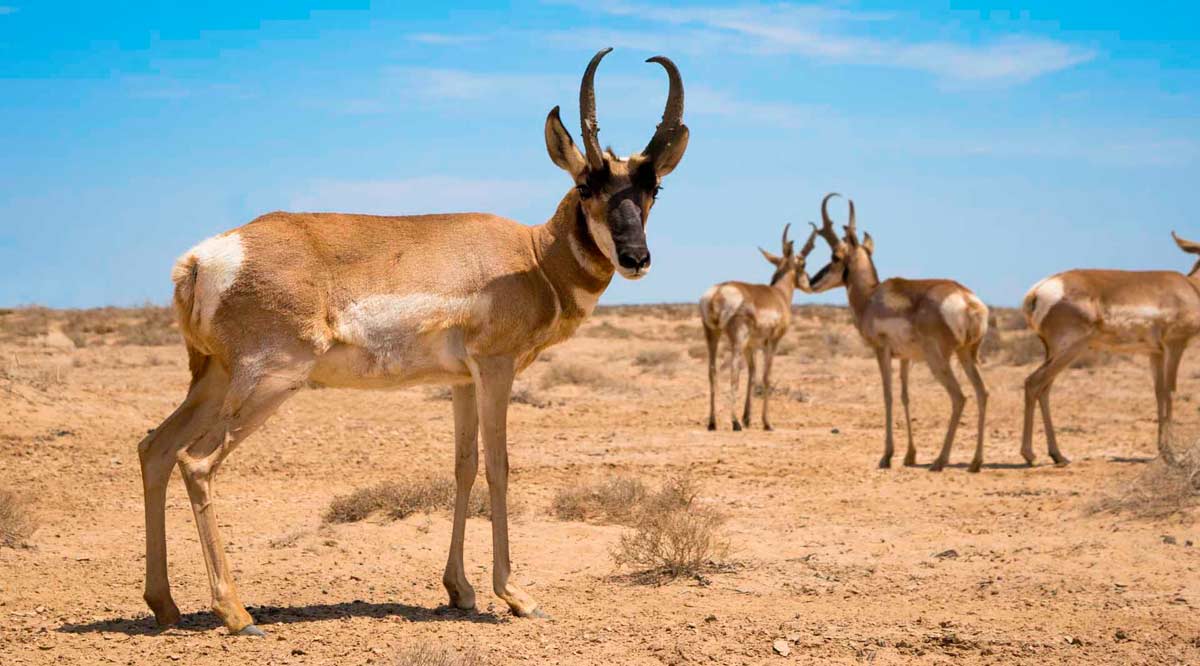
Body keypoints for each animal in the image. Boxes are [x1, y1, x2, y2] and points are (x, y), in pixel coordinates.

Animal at [137, 48, 691, 633]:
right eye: (587, 185)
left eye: (652, 188)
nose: (635, 258)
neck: (531, 256)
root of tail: (203, 257)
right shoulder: (496, 369)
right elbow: (499, 467)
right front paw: (516, 594)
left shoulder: (462, 382)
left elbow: (464, 467)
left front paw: (460, 589)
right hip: (268, 383)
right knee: (196, 462)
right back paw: (236, 612)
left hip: (215, 381)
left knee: (155, 448)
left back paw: (165, 605)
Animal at [700, 224, 820, 432]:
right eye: (802, 264)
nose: (811, 284)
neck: (778, 294)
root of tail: (718, 291)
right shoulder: (771, 342)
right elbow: (766, 377)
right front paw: (766, 423)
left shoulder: (751, 346)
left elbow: (753, 375)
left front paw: (748, 418)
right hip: (737, 341)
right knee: (733, 373)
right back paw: (734, 423)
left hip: (712, 335)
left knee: (712, 371)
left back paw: (713, 423)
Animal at [806, 194, 993, 475]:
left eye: (835, 255)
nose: (811, 280)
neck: (871, 296)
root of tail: (967, 300)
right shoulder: (905, 358)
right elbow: (906, 397)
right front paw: (909, 455)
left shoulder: (881, 351)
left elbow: (888, 396)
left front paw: (886, 456)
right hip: (966, 355)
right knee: (982, 393)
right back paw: (975, 462)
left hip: (939, 360)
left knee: (959, 397)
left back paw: (940, 461)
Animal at [1017, 231, 1200, 465]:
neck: (1191, 287)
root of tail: (1038, 290)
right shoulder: (1175, 345)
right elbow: (1170, 391)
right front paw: (1173, 455)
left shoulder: (1155, 353)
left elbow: (1159, 393)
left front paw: (1163, 450)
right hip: (1070, 351)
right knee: (1033, 383)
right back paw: (1030, 454)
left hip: (1055, 353)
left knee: (1044, 389)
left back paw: (1058, 455)